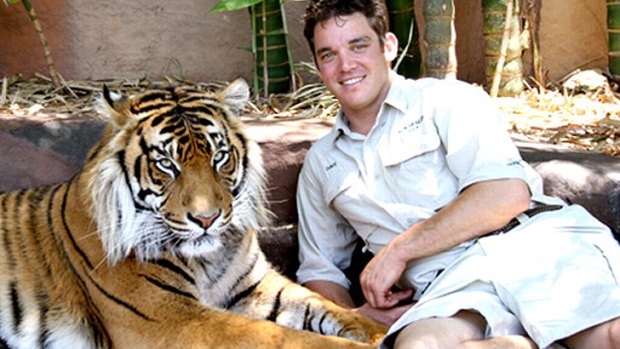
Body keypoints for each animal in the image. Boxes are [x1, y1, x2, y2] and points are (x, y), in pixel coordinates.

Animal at [0, 79, 386, 348]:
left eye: (219, 156)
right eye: (166, 164)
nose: (206, 219)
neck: (208, 259)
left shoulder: (256, 286)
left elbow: (328, 308)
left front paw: (381, 331)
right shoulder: (169, 319)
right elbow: (284, 338)